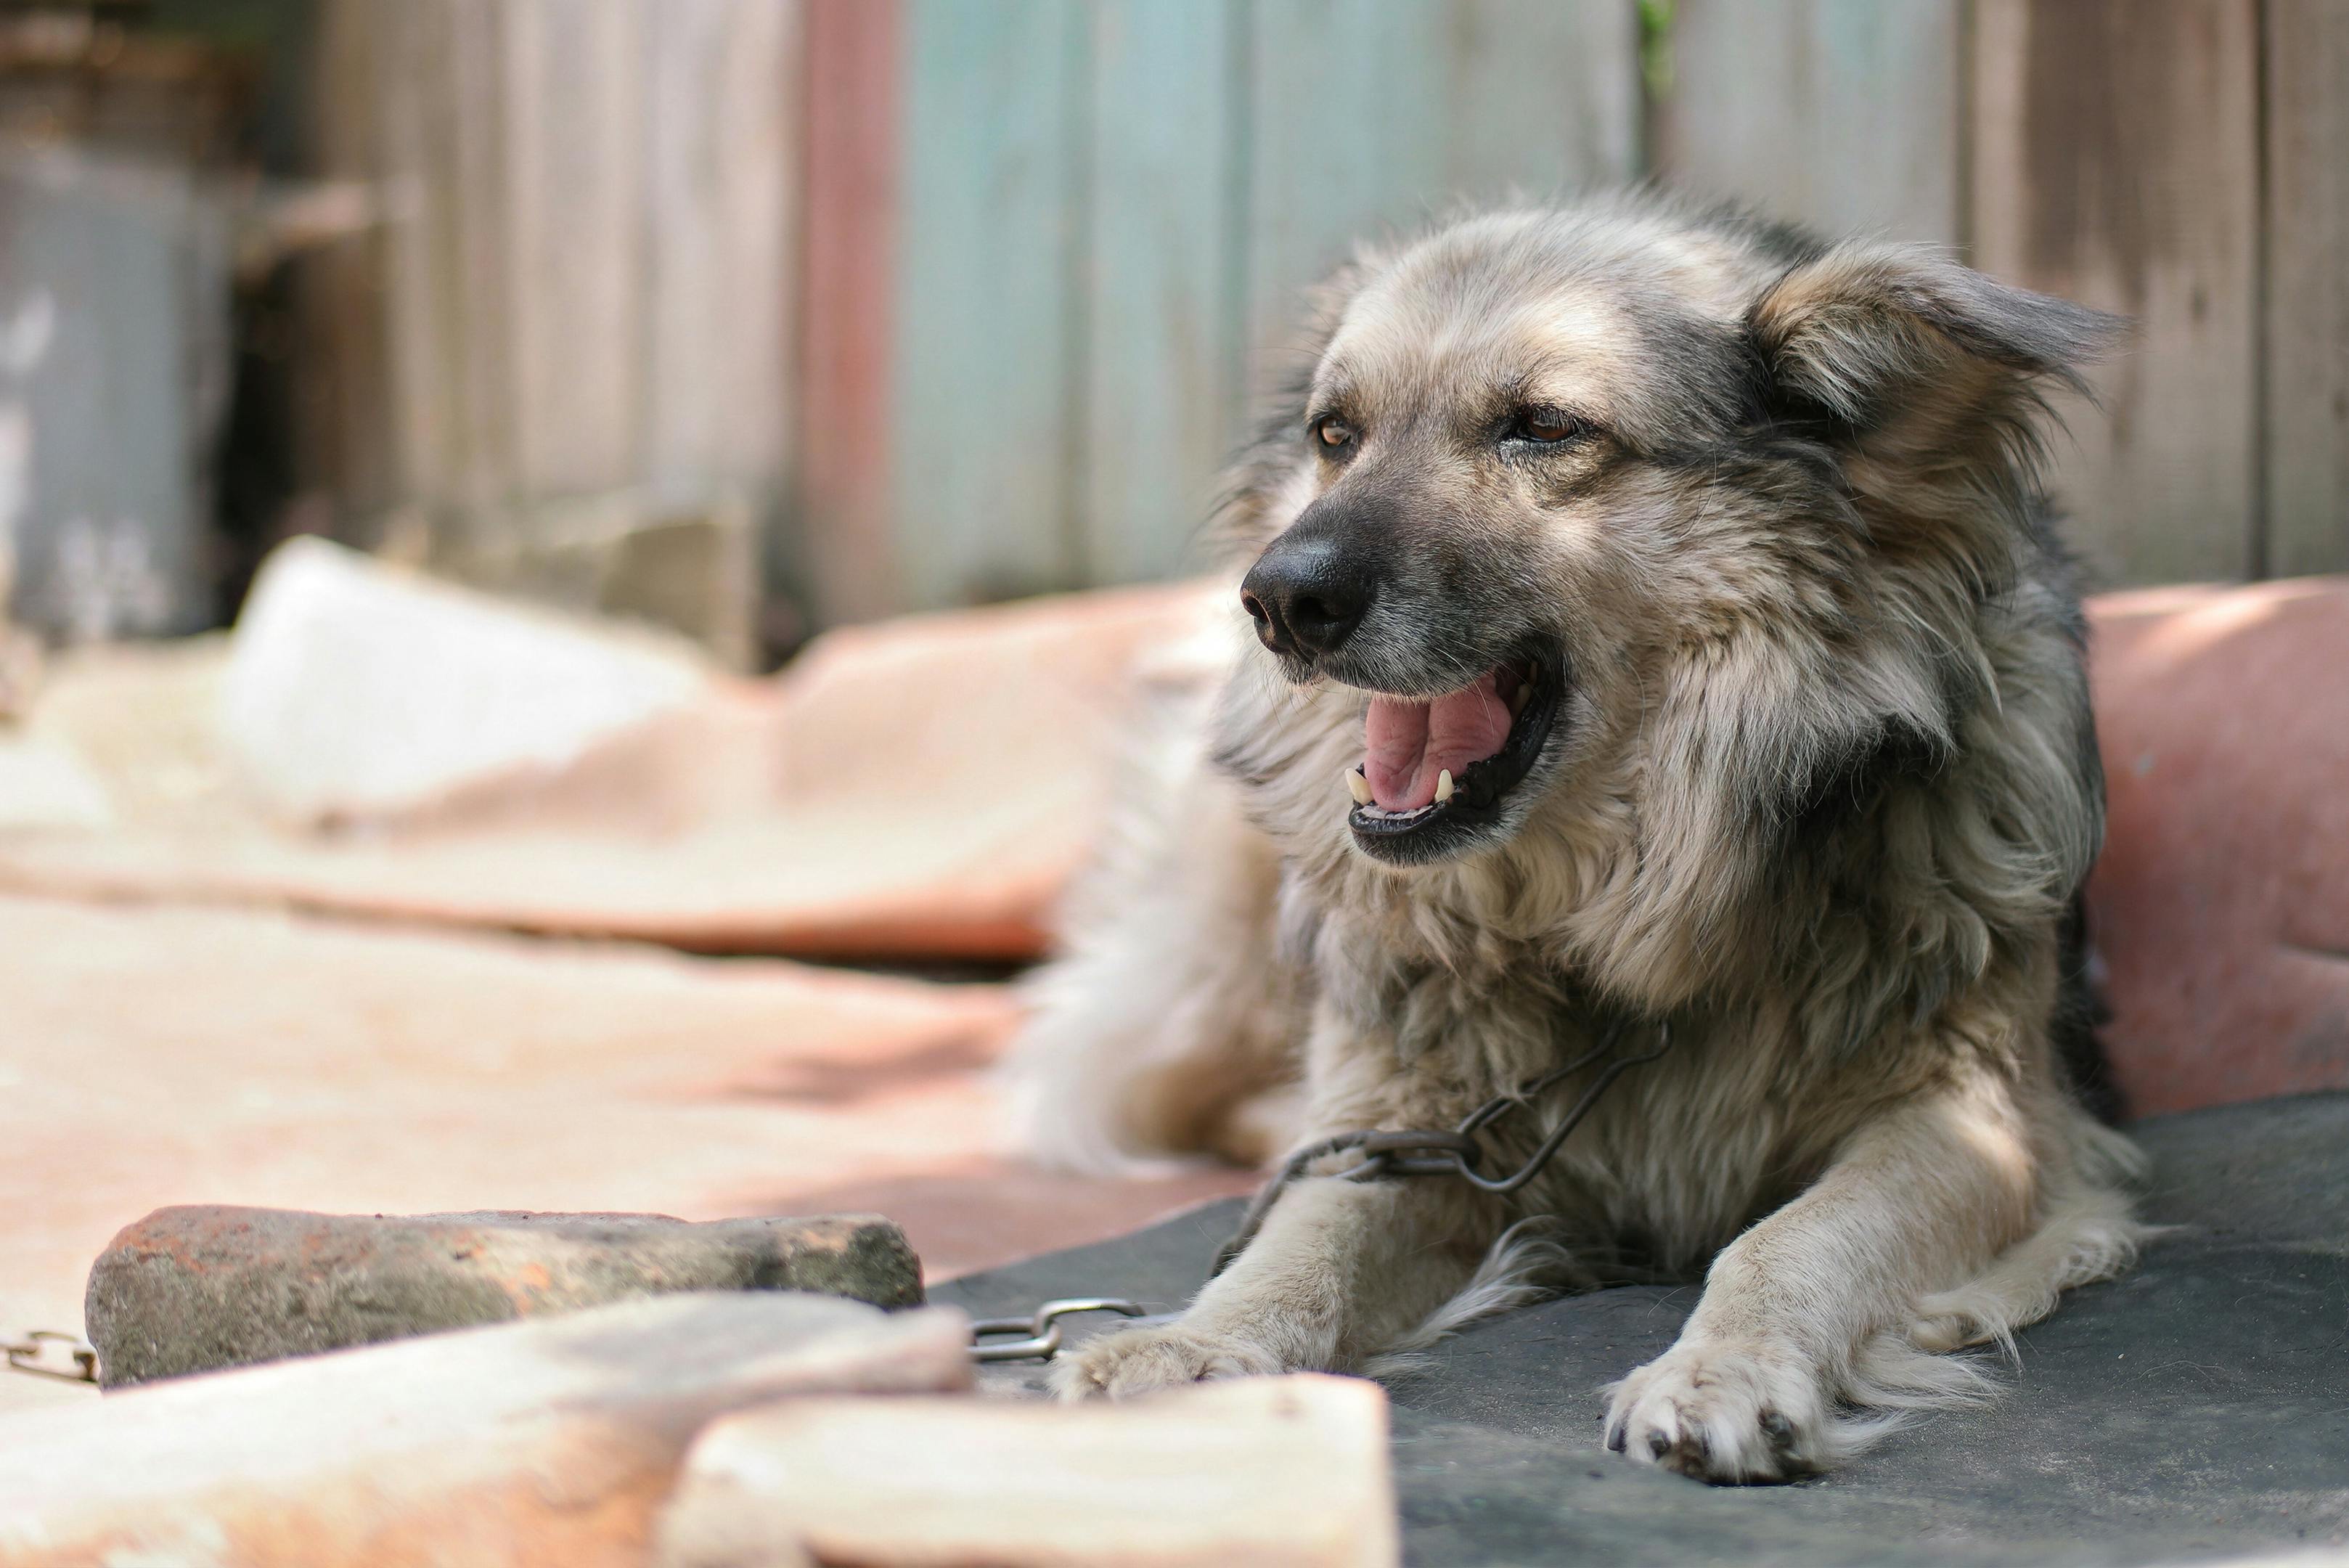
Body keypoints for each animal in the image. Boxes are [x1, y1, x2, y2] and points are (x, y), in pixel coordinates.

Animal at [1010, 196, 2152, 1485]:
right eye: (1335, 434)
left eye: (1544, 428)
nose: (1281, 601)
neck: (1626, 911)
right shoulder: (1419, 1133)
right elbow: (1308, 1236)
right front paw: (1198, 1341)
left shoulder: (1985, 1125)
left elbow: (1793, 1237)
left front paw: (1725, 1369)